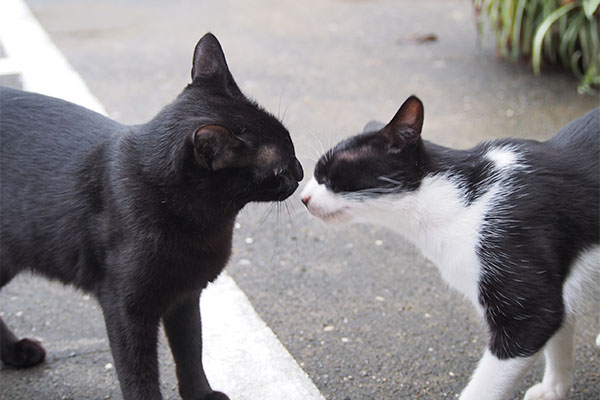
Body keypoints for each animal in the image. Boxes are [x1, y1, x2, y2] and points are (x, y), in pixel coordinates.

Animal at [0, 33, 300, 400]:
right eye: (279, 168)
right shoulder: (125, 308)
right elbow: (138, 373)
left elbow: (191, 348)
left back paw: (17, 354)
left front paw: (201, 394)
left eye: (291, 144)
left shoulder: (185, 294)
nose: (301, 172)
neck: (206, 224)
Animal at [302, 97, 596, 400]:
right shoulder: (559, 288)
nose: (304, 197)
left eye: (329, 173)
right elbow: (562, 329)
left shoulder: (529, 307)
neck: (459, 204)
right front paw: (554, 389)